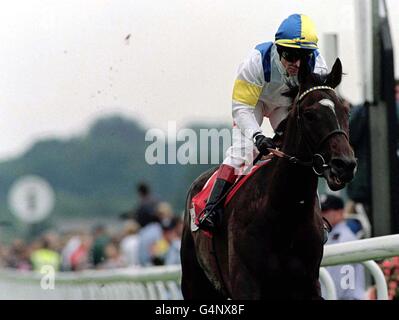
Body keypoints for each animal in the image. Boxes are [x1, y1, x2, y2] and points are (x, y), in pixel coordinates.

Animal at [180, 58, 356, 300]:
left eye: (346, 111)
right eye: (309, 114)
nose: (345, 165)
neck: (284, 215)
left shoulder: (308, 285)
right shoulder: (245, 284)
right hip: (193, 284)